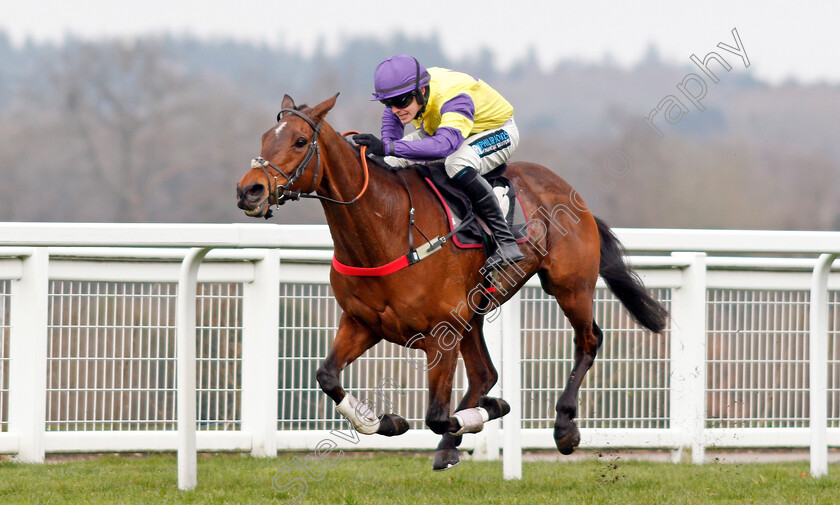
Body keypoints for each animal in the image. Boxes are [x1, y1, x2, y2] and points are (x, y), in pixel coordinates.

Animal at [236, 93, 668, 468]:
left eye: (300, 140)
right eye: (264, 138)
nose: (249, 190)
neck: (387, 228)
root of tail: (571, 192)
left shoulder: (440, 331)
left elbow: (437, 415)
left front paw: (489, 410)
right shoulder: (363, 322)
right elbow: (327, 376)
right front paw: (384, 421)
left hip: (568, 286)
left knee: (589, 339)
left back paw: (563, 427)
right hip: (474, 311)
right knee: (485, 373)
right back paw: (451, 445)